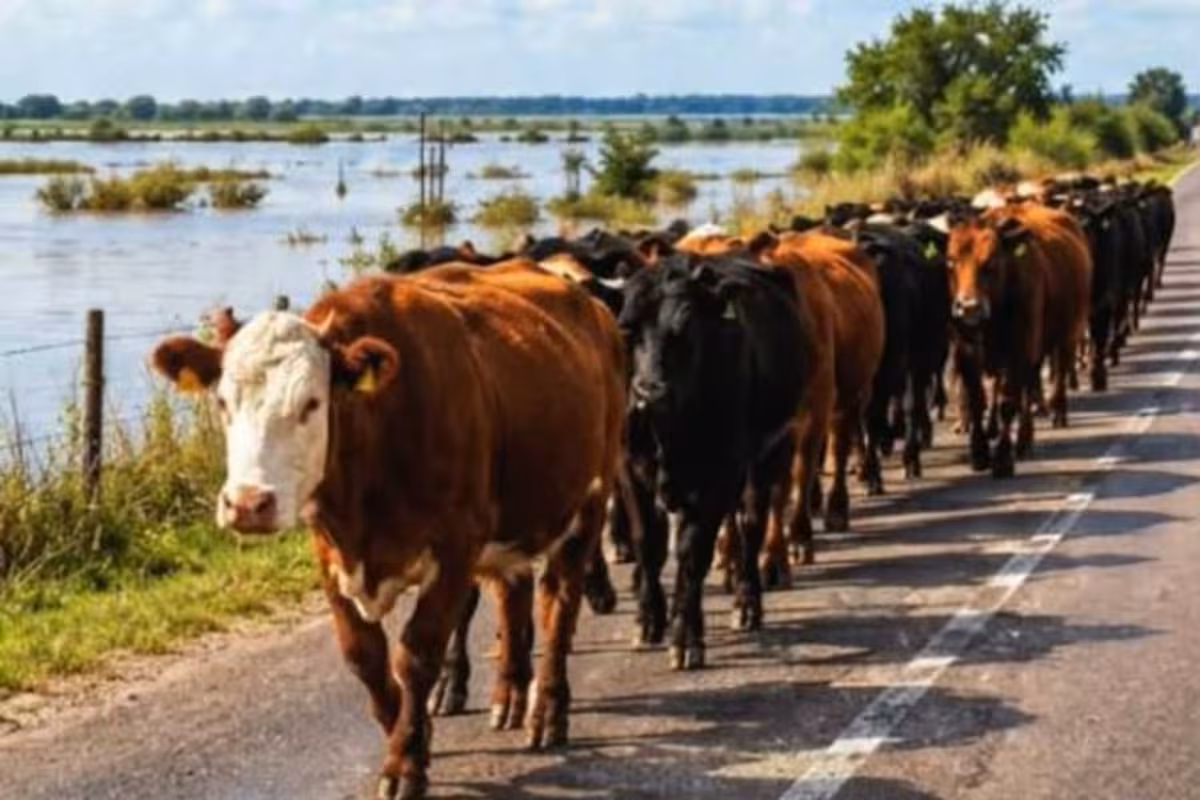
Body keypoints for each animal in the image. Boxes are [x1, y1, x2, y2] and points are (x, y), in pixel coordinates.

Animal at [151, 261, 626, 800]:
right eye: (223, 402)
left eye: (312, 403)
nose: (249, 503)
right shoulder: (330, 554)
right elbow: (365, 658)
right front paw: (412, 732)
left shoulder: (455, 549)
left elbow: (416, 655)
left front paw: (405, 762)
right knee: (514, 595)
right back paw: (508, 695)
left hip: (588, 504)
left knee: (558, 606)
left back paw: (547, 710)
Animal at [617, 254, 809, 669]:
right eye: (628, 327)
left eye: (686, 325)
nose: (648, 392)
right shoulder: (630, 470)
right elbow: (648, 544)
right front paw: (648, 619)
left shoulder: (717, 477)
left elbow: (692, 555)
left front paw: (685, 639)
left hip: (769, 455)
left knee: (751, 525)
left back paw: (747, 604)